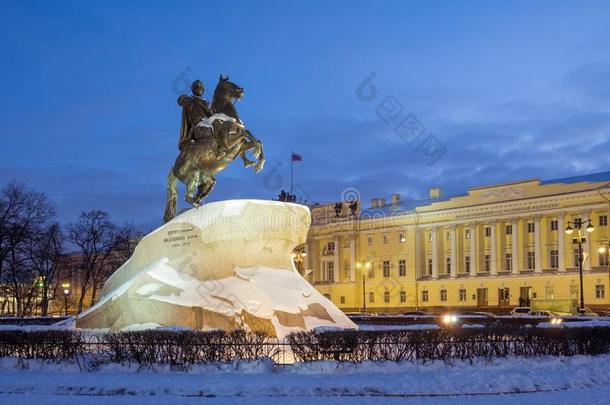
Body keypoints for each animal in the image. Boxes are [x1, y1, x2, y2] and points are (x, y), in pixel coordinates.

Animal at [163, 75, 264, 221]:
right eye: (228, 84)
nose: (241, 90)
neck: (226, 117)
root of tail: (174, 167)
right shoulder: (228, 143)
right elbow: (246, 133)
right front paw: (255, 156)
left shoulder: (239, 146)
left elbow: (256, 140)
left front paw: (258, 164)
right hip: (192, 177)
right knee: (187, 196)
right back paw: (195, 206)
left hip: (206, 178)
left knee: (205, 189)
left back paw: (197, 204)